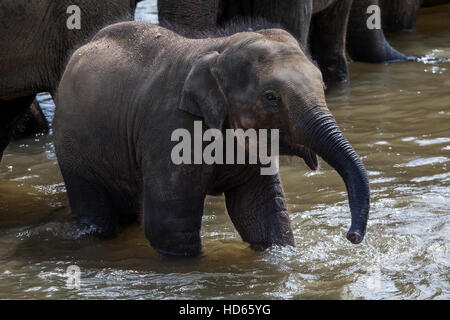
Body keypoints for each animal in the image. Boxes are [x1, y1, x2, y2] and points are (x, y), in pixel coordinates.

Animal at [53, 21, 370, 258]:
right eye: (271, 98)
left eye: (321, 83)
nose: (352, 236)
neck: (220, 47)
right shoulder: (169, 128)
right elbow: (170, 226)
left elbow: (261, 211)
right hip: (71, 147)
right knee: (97, 216)